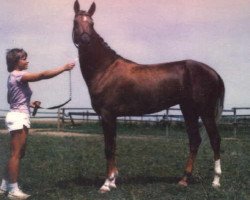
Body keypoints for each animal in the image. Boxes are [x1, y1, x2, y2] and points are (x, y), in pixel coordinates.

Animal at [72, 0, 225, 193]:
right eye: (76, 22)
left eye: (92, 24)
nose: (85, 40)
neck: (105, 69)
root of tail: (213, 73)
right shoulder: (112, 116)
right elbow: (114, 145)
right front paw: (113, 180)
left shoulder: (107, 115)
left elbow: (108, 148)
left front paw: (106, 184)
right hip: (188, 110)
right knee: (195, 140)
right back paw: (184, 179)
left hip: (205, 111)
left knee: (215, 140)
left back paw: (216, 181)